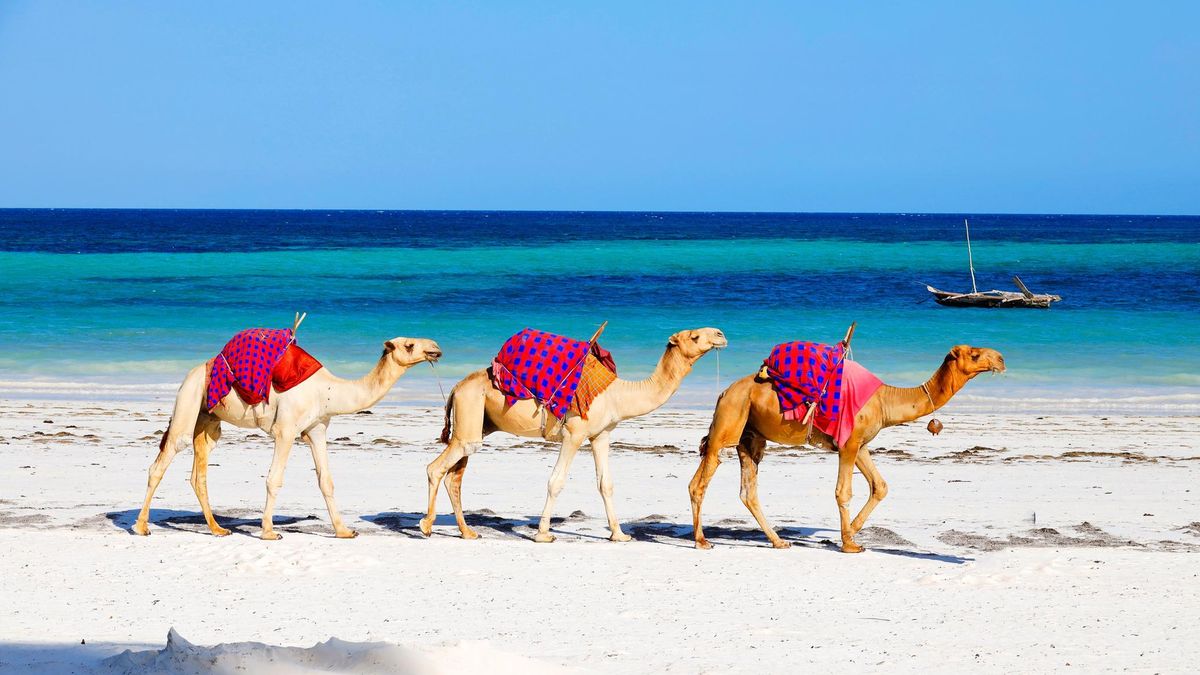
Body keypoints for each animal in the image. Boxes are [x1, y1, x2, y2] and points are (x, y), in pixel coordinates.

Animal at [133, 336, 443, 540]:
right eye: (409, 345)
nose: (436, 349)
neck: (327, 391)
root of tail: (195, 370)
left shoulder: (317, 429)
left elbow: (326, 481)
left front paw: (344, 531)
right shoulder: (286, 429)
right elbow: (274, 479)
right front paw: (269, 532)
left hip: (208, 418)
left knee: (199, 473)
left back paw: (217, 529)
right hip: (189, 399)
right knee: (164, 458)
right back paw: (141, 526)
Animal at [421, 327, 727, 543]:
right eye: (695, 335)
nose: (720, 335)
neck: (617, 395)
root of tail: (457, 387)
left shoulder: (601, 435)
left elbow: (606, 484)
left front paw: (619, 534)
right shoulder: (574, 433)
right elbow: (556, 481)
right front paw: (543, 534)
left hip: (476, 423)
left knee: (454, 476)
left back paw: (467, 532)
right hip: (470, 413)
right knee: (436, 468)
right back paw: (426, 525)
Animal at [688, 344, 1005, 552]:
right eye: (975, 354)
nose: (1001, 359)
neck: (885, 400)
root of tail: (723, 392)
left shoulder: (860, 444)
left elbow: (880, 486)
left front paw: (850, 532)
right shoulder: (848, 444)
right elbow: (843, 491)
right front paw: (849, 543)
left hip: (750, 436)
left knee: (748, 490)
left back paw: (778, 541)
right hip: (728, 422)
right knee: (700, 480)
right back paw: (702, 541)